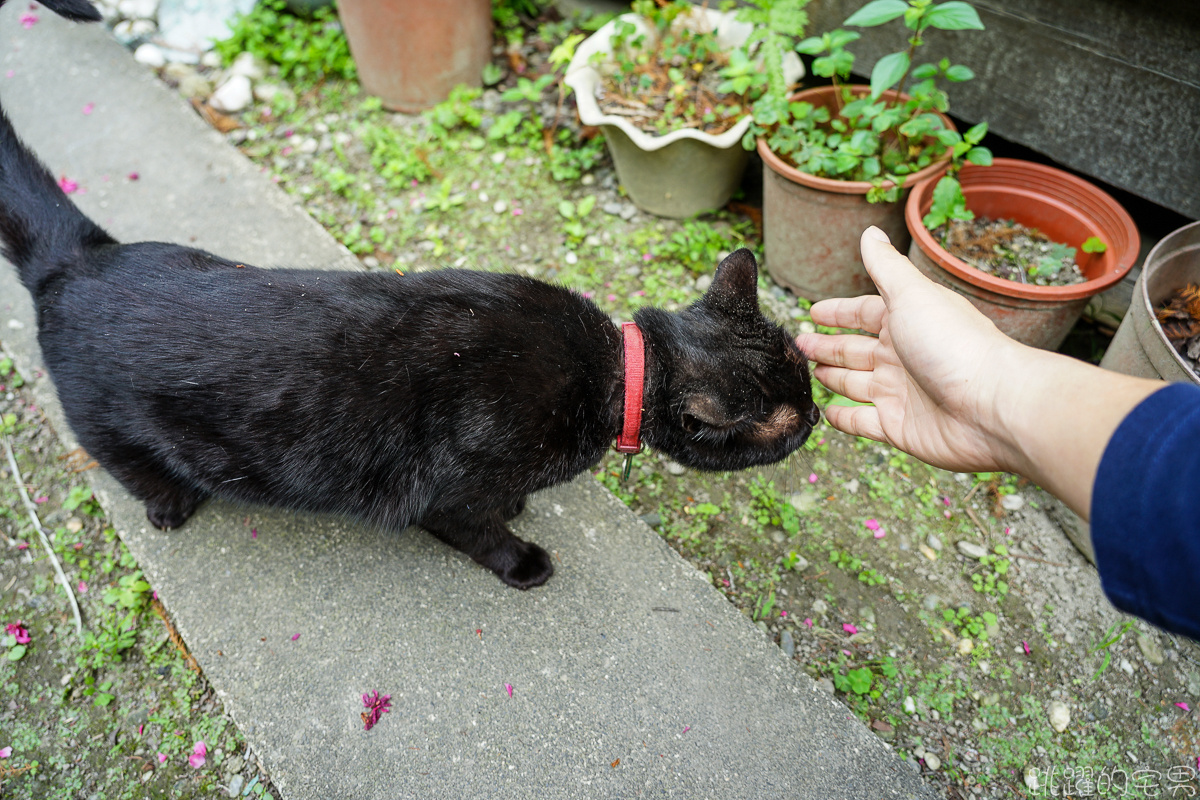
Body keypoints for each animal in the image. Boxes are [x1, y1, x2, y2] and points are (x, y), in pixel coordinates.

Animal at [0, 0, 820, 587]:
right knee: (129, 464)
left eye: (807, 380)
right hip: (115, 431)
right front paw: (523, 560)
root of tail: (78, 257)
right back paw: (169, 502)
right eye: (786, 421)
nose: (815, 417)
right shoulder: (450, 494)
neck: (615, 373)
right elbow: (482, 531)